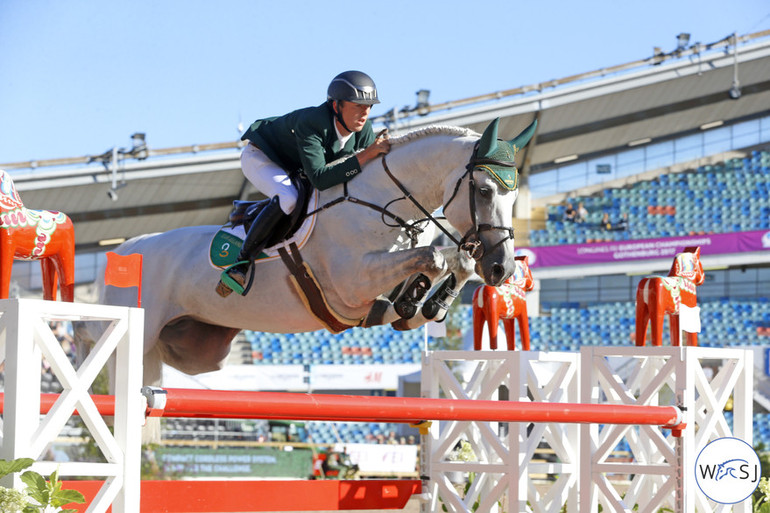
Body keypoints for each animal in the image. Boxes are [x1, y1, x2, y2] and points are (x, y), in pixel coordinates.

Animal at [78, 117, 536, 392]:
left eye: (514, 197)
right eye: (484, 191)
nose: (501, 268)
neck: (382, 204)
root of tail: (123, 250)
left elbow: (451, 261)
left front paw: (429, 303)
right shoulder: (351, 283)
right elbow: (435, 258)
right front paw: (417, 299)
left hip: (191, 347)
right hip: (132, 330)